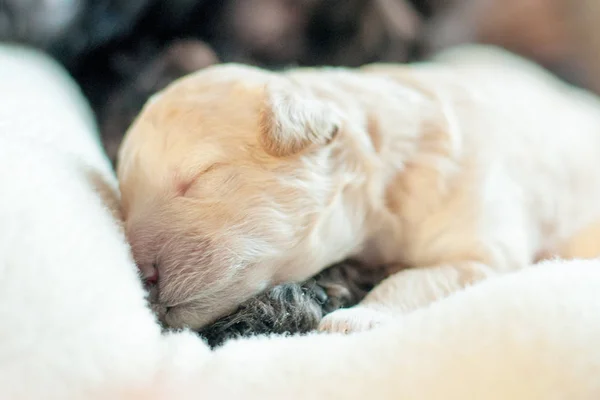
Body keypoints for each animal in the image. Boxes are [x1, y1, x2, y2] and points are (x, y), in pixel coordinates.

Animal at [117, 44, 600, 332]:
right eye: (125, 203)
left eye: (200, 176)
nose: (143, 277)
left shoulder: (482, 246)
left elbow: (415, 279)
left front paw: (357, 318)